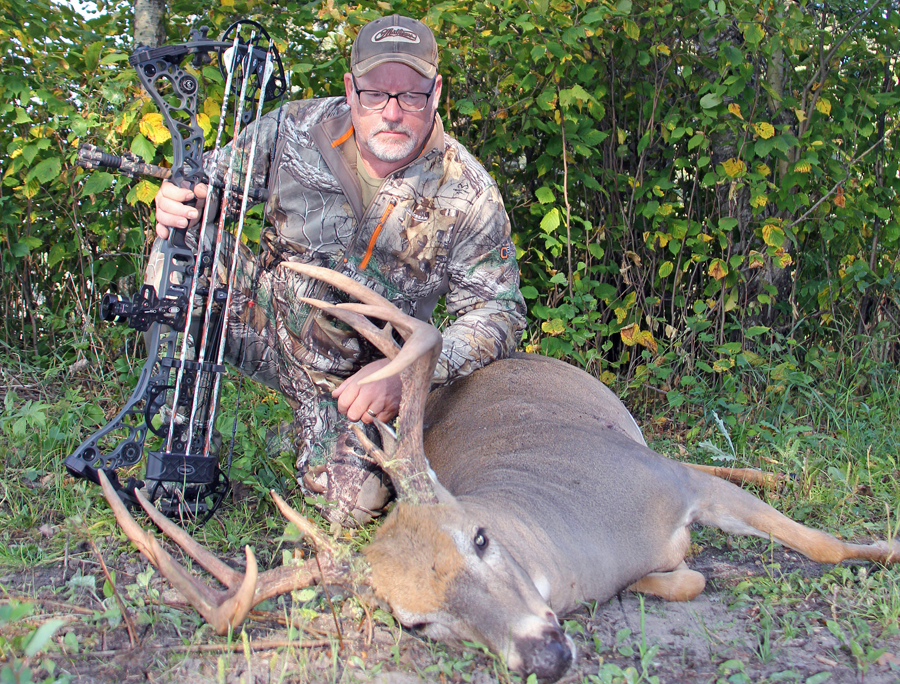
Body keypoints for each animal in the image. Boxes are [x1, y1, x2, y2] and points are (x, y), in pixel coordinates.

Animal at [99, 263, 900, 683]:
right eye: (418, 623)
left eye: (479, 539)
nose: (542, 654)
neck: (588, 546)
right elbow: (687, 578)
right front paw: (679, 568)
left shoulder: (670, 484)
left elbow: (823, 544)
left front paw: (885, 549)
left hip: (645, 444)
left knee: (706, 456)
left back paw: (779, 476)